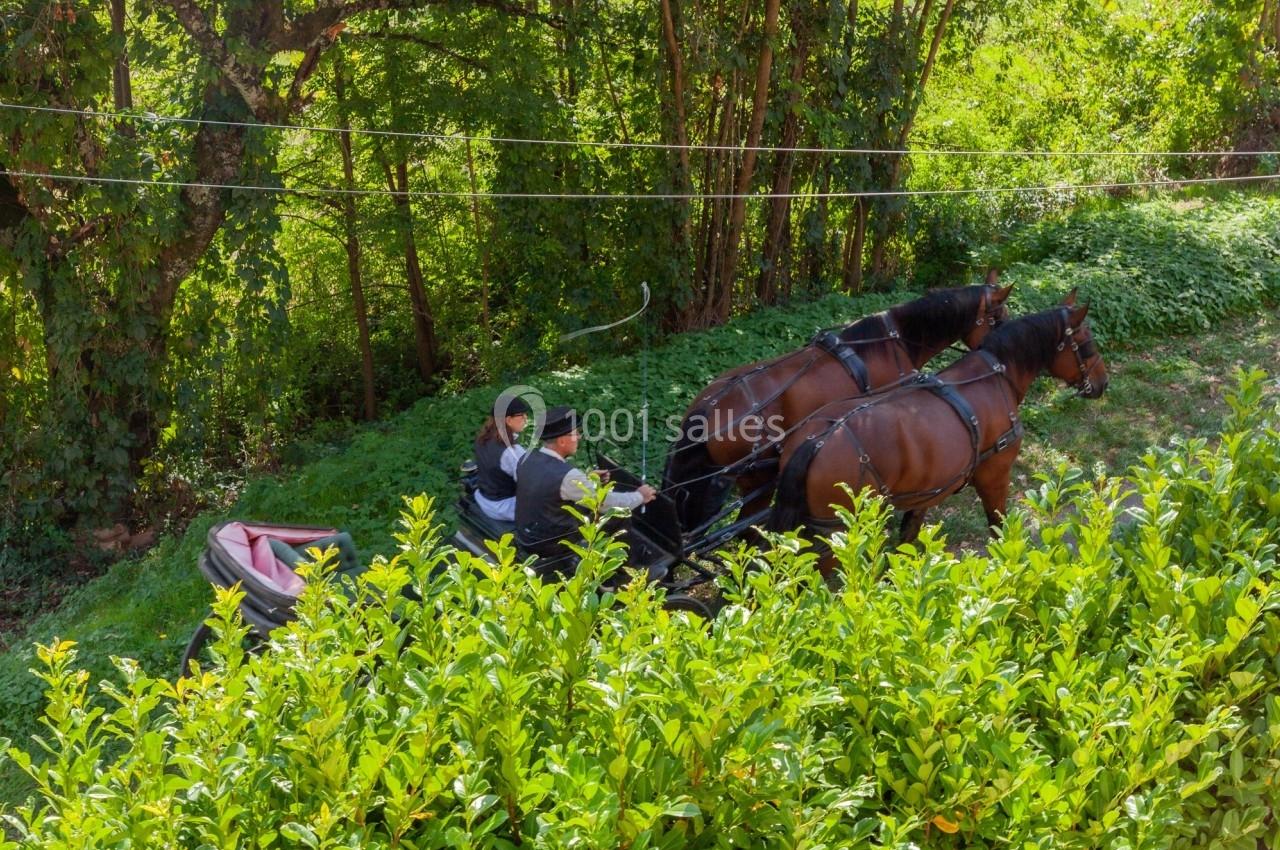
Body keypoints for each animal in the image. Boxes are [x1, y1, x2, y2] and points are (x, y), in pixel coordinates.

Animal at [768, 295, 1107, 556]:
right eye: (1086, 343)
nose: (1104, 382)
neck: (997, 375)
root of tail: (815, 441)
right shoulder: (995, 476)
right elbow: (998, 528)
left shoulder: (930, 490)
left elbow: (906, 539)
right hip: (838, 534)